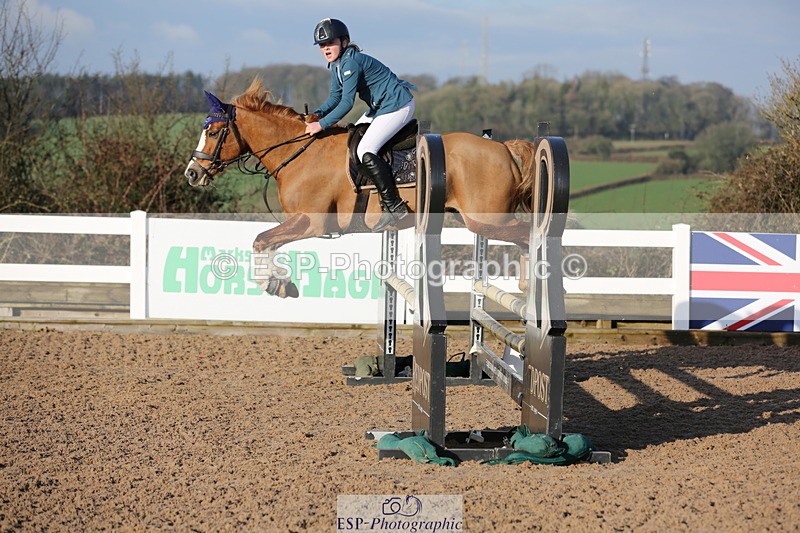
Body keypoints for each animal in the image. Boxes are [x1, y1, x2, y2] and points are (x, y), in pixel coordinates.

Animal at [185, 79, 539, 298]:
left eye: (214, 133)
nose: (192, 173)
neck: (298, 151)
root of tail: (503, 148)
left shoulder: (311, 221)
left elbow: (261, 240)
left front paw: (272, 284)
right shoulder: (300, 222)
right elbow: (266, 243)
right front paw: (280, 283)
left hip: (486, 220)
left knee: (528, 235)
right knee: (523, 237)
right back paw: (526, 287)